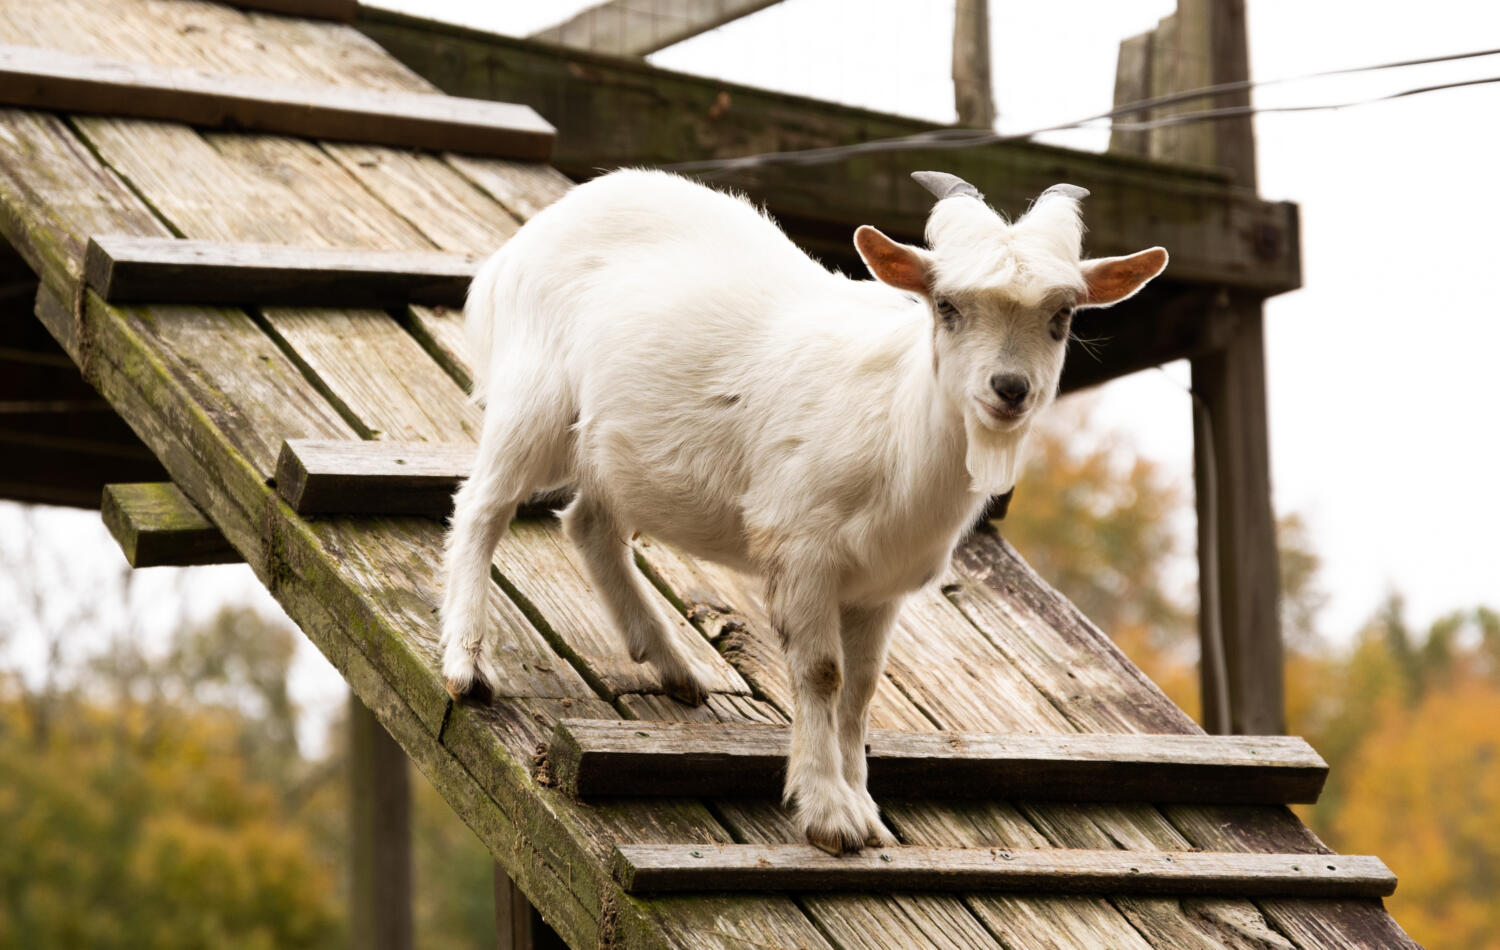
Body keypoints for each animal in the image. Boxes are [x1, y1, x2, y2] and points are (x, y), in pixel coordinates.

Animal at [438, 168, 1164, 852]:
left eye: (1063, 315)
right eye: (947, 306)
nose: (1009, 389)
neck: (896, 425)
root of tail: (524, 241)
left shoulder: (879, 586)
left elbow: (863, 686)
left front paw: (865, 807)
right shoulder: (802, 551)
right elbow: (822, 674)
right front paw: (830, 815)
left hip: (613, 449)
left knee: (590, 522)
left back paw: (673, 666)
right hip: (534, 401)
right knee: (481, 507)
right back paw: (467, 666)